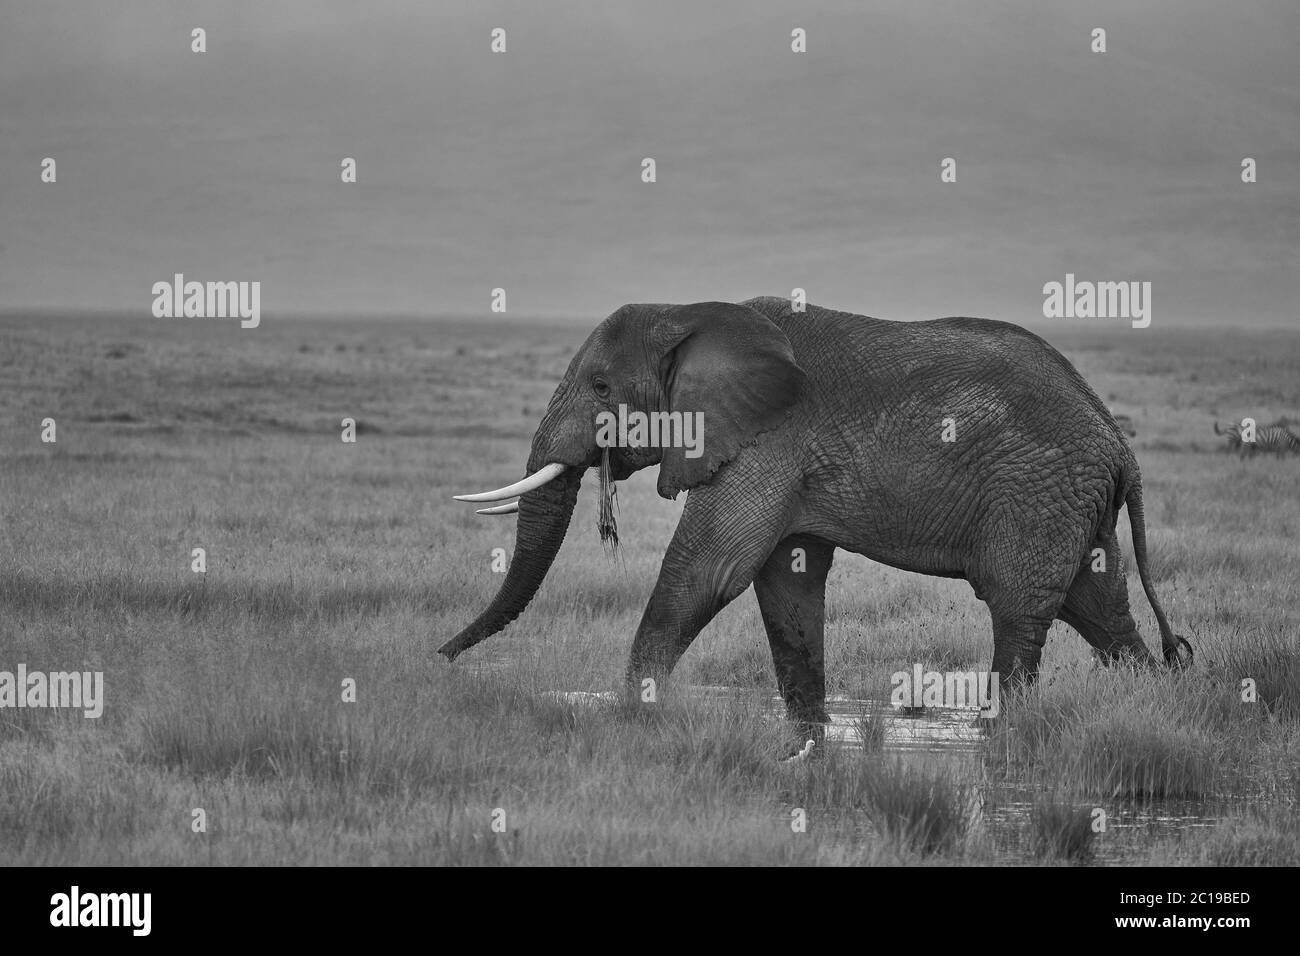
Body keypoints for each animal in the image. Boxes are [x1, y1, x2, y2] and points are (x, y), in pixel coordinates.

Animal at [441, 297, 1192, 744]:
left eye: (600, 386)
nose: (439, 660)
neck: (690, 313)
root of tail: (1117, 441)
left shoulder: (766, 439)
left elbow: (712, 568)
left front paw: (636, 712)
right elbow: (786, 584)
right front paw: (809, 734)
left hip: (1039, 494)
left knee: (1019, 610)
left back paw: (998, 732)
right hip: (1072, 502)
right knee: (1100, 608)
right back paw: (1151, 704)